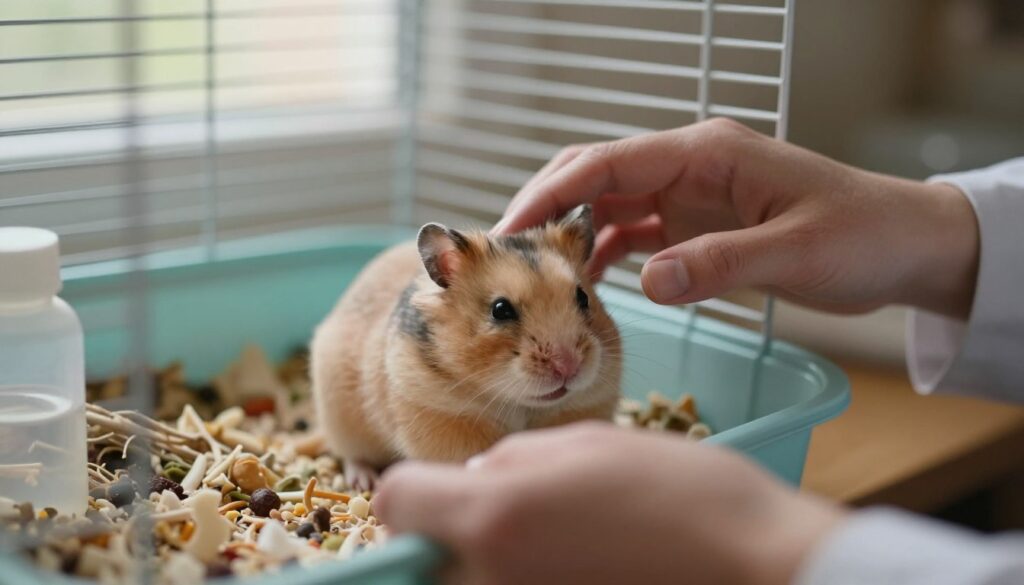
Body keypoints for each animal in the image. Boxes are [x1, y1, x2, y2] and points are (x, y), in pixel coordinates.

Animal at [309, 205, 621, 486]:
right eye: (500, 310)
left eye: (583, 297)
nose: (569, 366)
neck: (515, 402)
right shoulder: (442, 418)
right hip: (341, 416)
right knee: (352, 455)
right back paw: (364, 481)